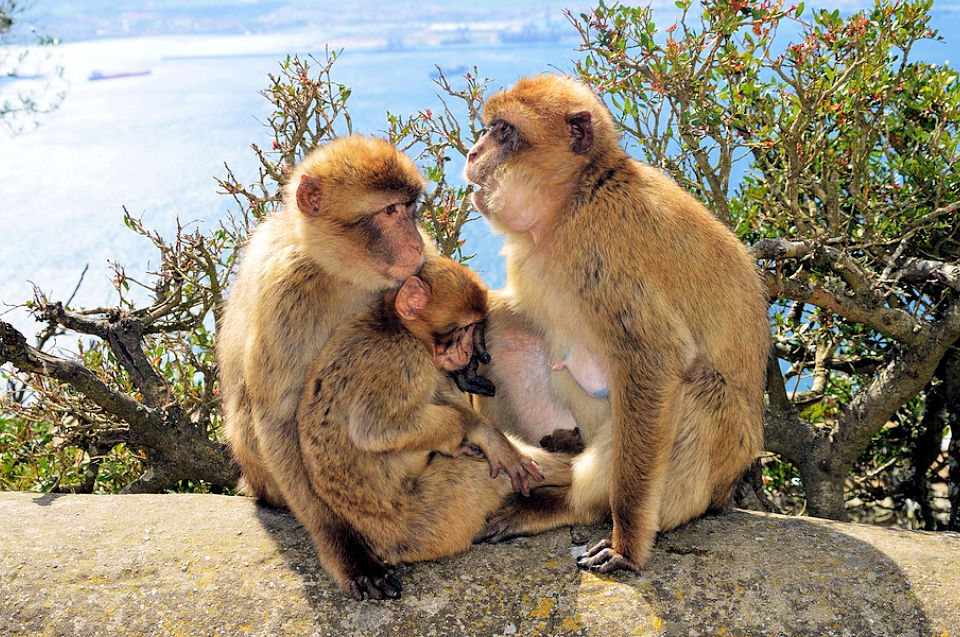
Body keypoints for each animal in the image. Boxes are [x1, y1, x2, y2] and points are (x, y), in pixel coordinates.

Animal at [217, 135, 433, 600]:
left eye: (411, 208)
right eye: (389, 211)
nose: (416, 242)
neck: (344, 275)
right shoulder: (286, 292)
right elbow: (276, 417)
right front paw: (345, 547)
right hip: (261, 472)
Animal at [297, 255, 573, 596]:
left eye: (475, 328)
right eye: (465, 328)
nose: (468, 352)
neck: (391, 324)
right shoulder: (407, 359)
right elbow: (375, 429)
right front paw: (481, 432)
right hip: (442, 514)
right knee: (479, 470)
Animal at [463, 74, 770, 573]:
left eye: (504, 131)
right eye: (489, 128)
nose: (473, 153)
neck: (576, 198)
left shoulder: (608, 247)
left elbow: (654, 362)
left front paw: (627, 541)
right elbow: (513, 312)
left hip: (710, 466)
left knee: (701, 392)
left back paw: (572, 506)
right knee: (505, 330)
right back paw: (559, 451)